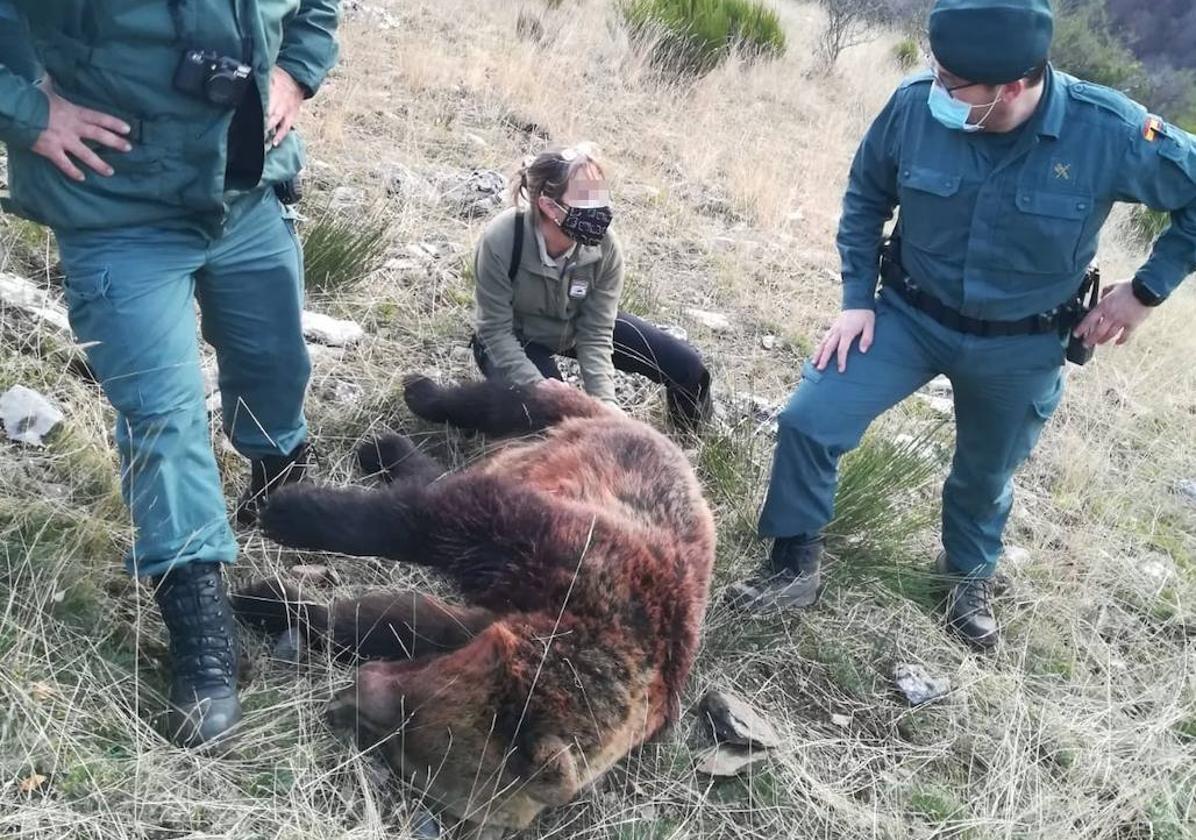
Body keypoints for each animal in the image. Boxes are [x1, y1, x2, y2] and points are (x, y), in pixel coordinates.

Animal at [238, 378, 712, 832]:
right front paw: (290, 513)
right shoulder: (572, 555)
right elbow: (446, 520)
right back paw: (409, 409)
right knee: (506, 405)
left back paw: (389, 453)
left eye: (398, 752)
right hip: (576, 429)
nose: (339, 706)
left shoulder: (488, 622)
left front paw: (274, 605)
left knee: (444, 473)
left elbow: (399, 621)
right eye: (410, 713)